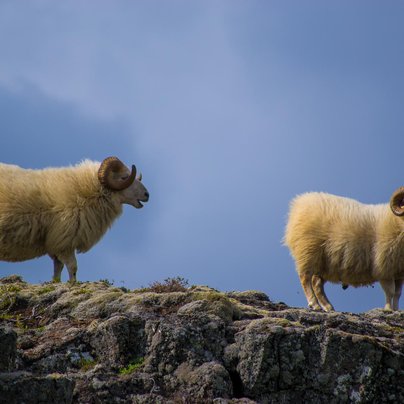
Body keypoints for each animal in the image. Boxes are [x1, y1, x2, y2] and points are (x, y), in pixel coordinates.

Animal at [0, 156, 149, 282]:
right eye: (124, 177)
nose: (147, 195)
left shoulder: (56, 244)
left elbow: (58, 269)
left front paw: (56, 284)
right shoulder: (65, 241)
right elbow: (73, 267)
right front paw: (73, 284)